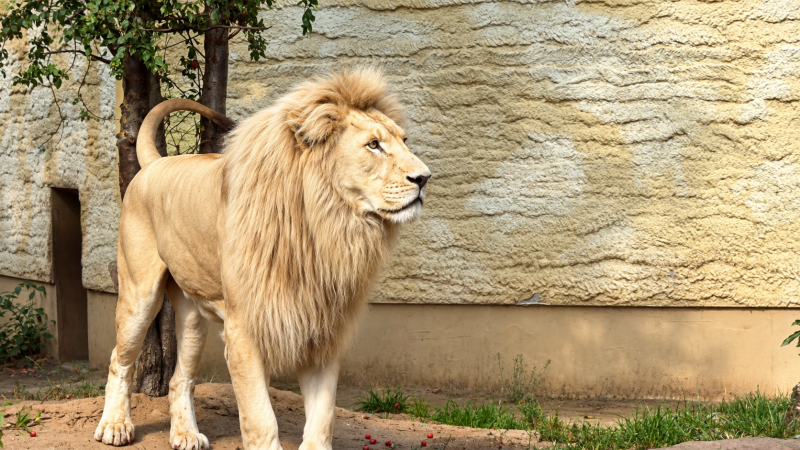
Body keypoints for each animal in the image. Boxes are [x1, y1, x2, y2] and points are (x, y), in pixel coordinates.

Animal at [94, 68, 431, 450]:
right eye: (373, 145)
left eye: (404, 140)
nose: (424, 178)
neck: (323, 228)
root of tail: (157, 162)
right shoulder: (244, 329)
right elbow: (260, 417)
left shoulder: (322, 329)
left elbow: (322, 419)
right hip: (140, 296)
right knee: (119, 361)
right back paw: (115, 425)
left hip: (192, 314)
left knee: (181, 379)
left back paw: (185, 434)